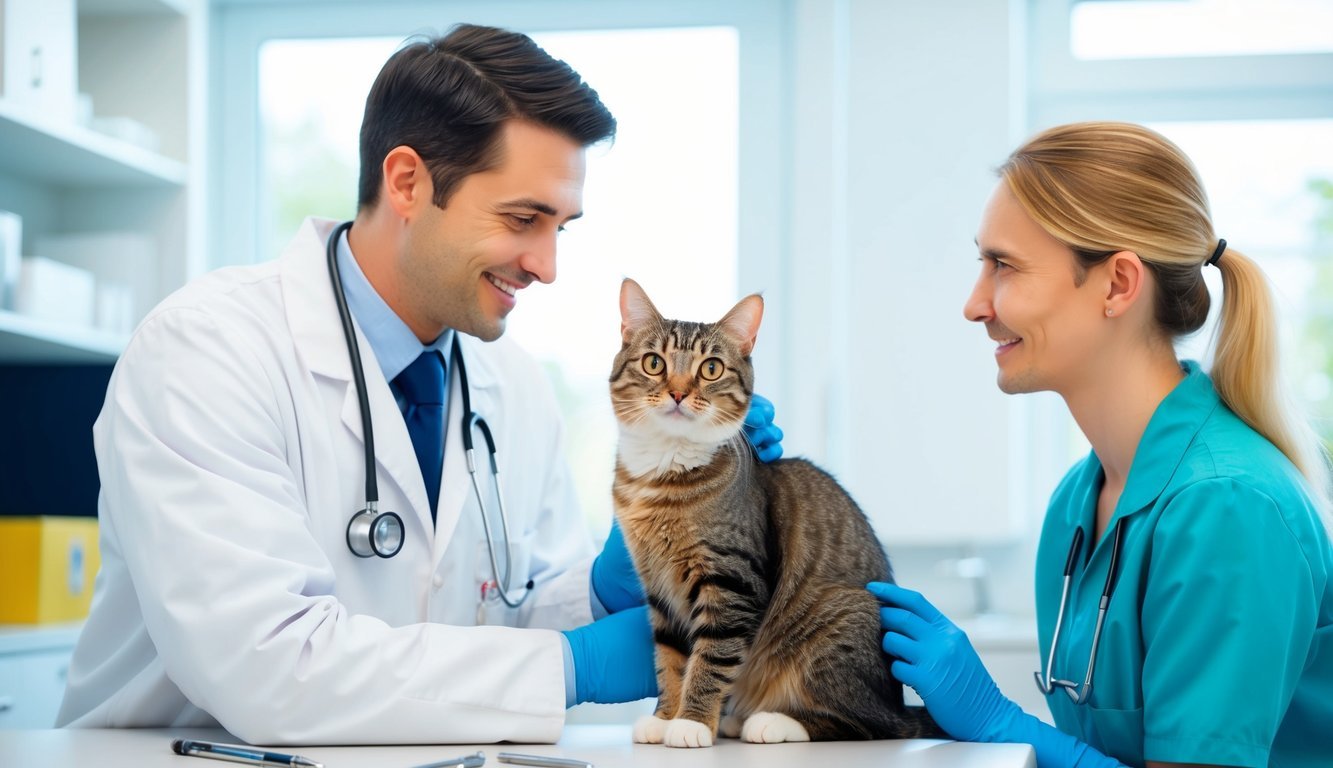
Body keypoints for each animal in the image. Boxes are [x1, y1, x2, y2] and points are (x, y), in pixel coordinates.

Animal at [610, 278, 943, 746]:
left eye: (710, 369)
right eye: (654, 363)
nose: (677, 392)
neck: (662, 477)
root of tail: (897, 702)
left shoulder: (732, 583)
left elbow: (709, 659)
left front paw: (691, 722)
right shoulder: (657, 588)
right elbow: (671, 659)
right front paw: (664, 717)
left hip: (836, 621)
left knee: (870, 725)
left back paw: (773, 721)